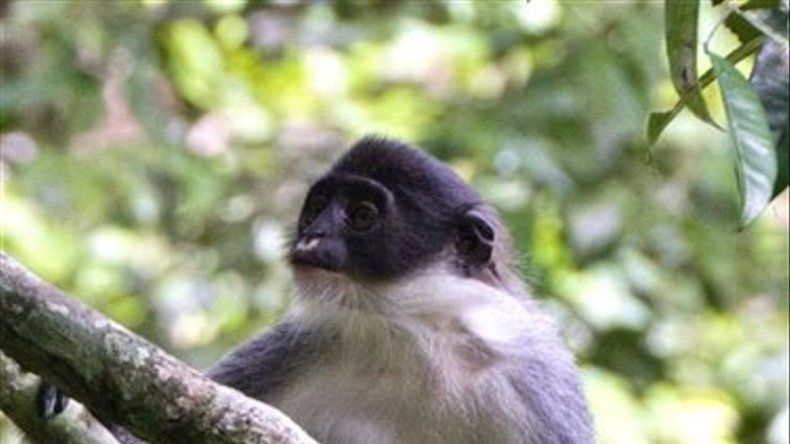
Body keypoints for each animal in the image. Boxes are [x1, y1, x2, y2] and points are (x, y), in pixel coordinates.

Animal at [36, 136, 593, 443]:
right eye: (317, 208)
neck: (421, 341)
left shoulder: (538, 386)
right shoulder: (310, 341)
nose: (311, 236)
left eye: (362, 214)